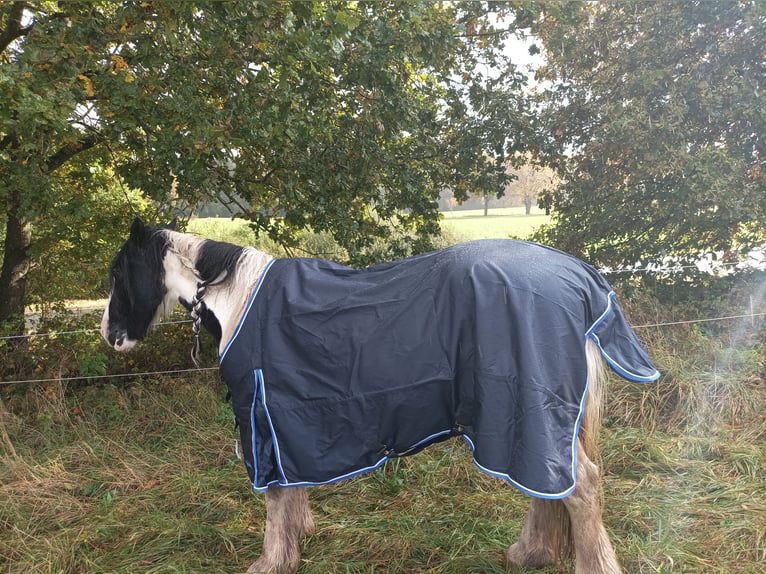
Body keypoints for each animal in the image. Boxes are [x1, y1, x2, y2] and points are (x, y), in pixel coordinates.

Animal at [99, 218, 656, 572]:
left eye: (118, 273)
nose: (111, 335)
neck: (239, 298)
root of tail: (580, 280)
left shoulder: (262, 418)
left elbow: (276, 497)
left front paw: (272, 560)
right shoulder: (287, 422)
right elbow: (293, 489)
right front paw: (299, 538)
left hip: (528, 408)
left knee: (581, 486)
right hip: (534, 417)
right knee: (553, 484)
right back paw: (529, 554)